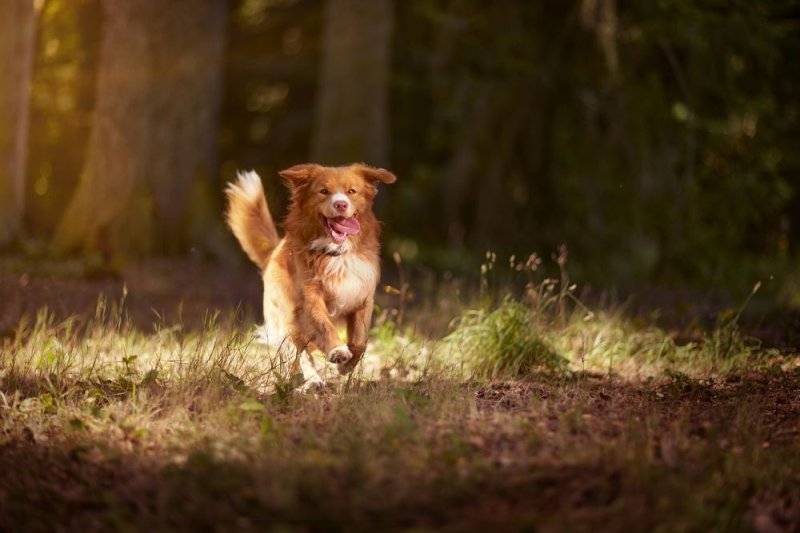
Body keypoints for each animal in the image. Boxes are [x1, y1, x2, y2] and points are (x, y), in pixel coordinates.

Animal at [225, 162, 396, 386]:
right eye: (323, 191)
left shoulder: (362, 297)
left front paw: (347, 365)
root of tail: (274, 253)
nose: (341, 205)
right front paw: (338, 351)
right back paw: (312, 380)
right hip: (286, 317)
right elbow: (323, 325)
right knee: (297, 352)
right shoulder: (310, 298)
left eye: (351, 191)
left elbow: (360, 340)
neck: (337, 253)